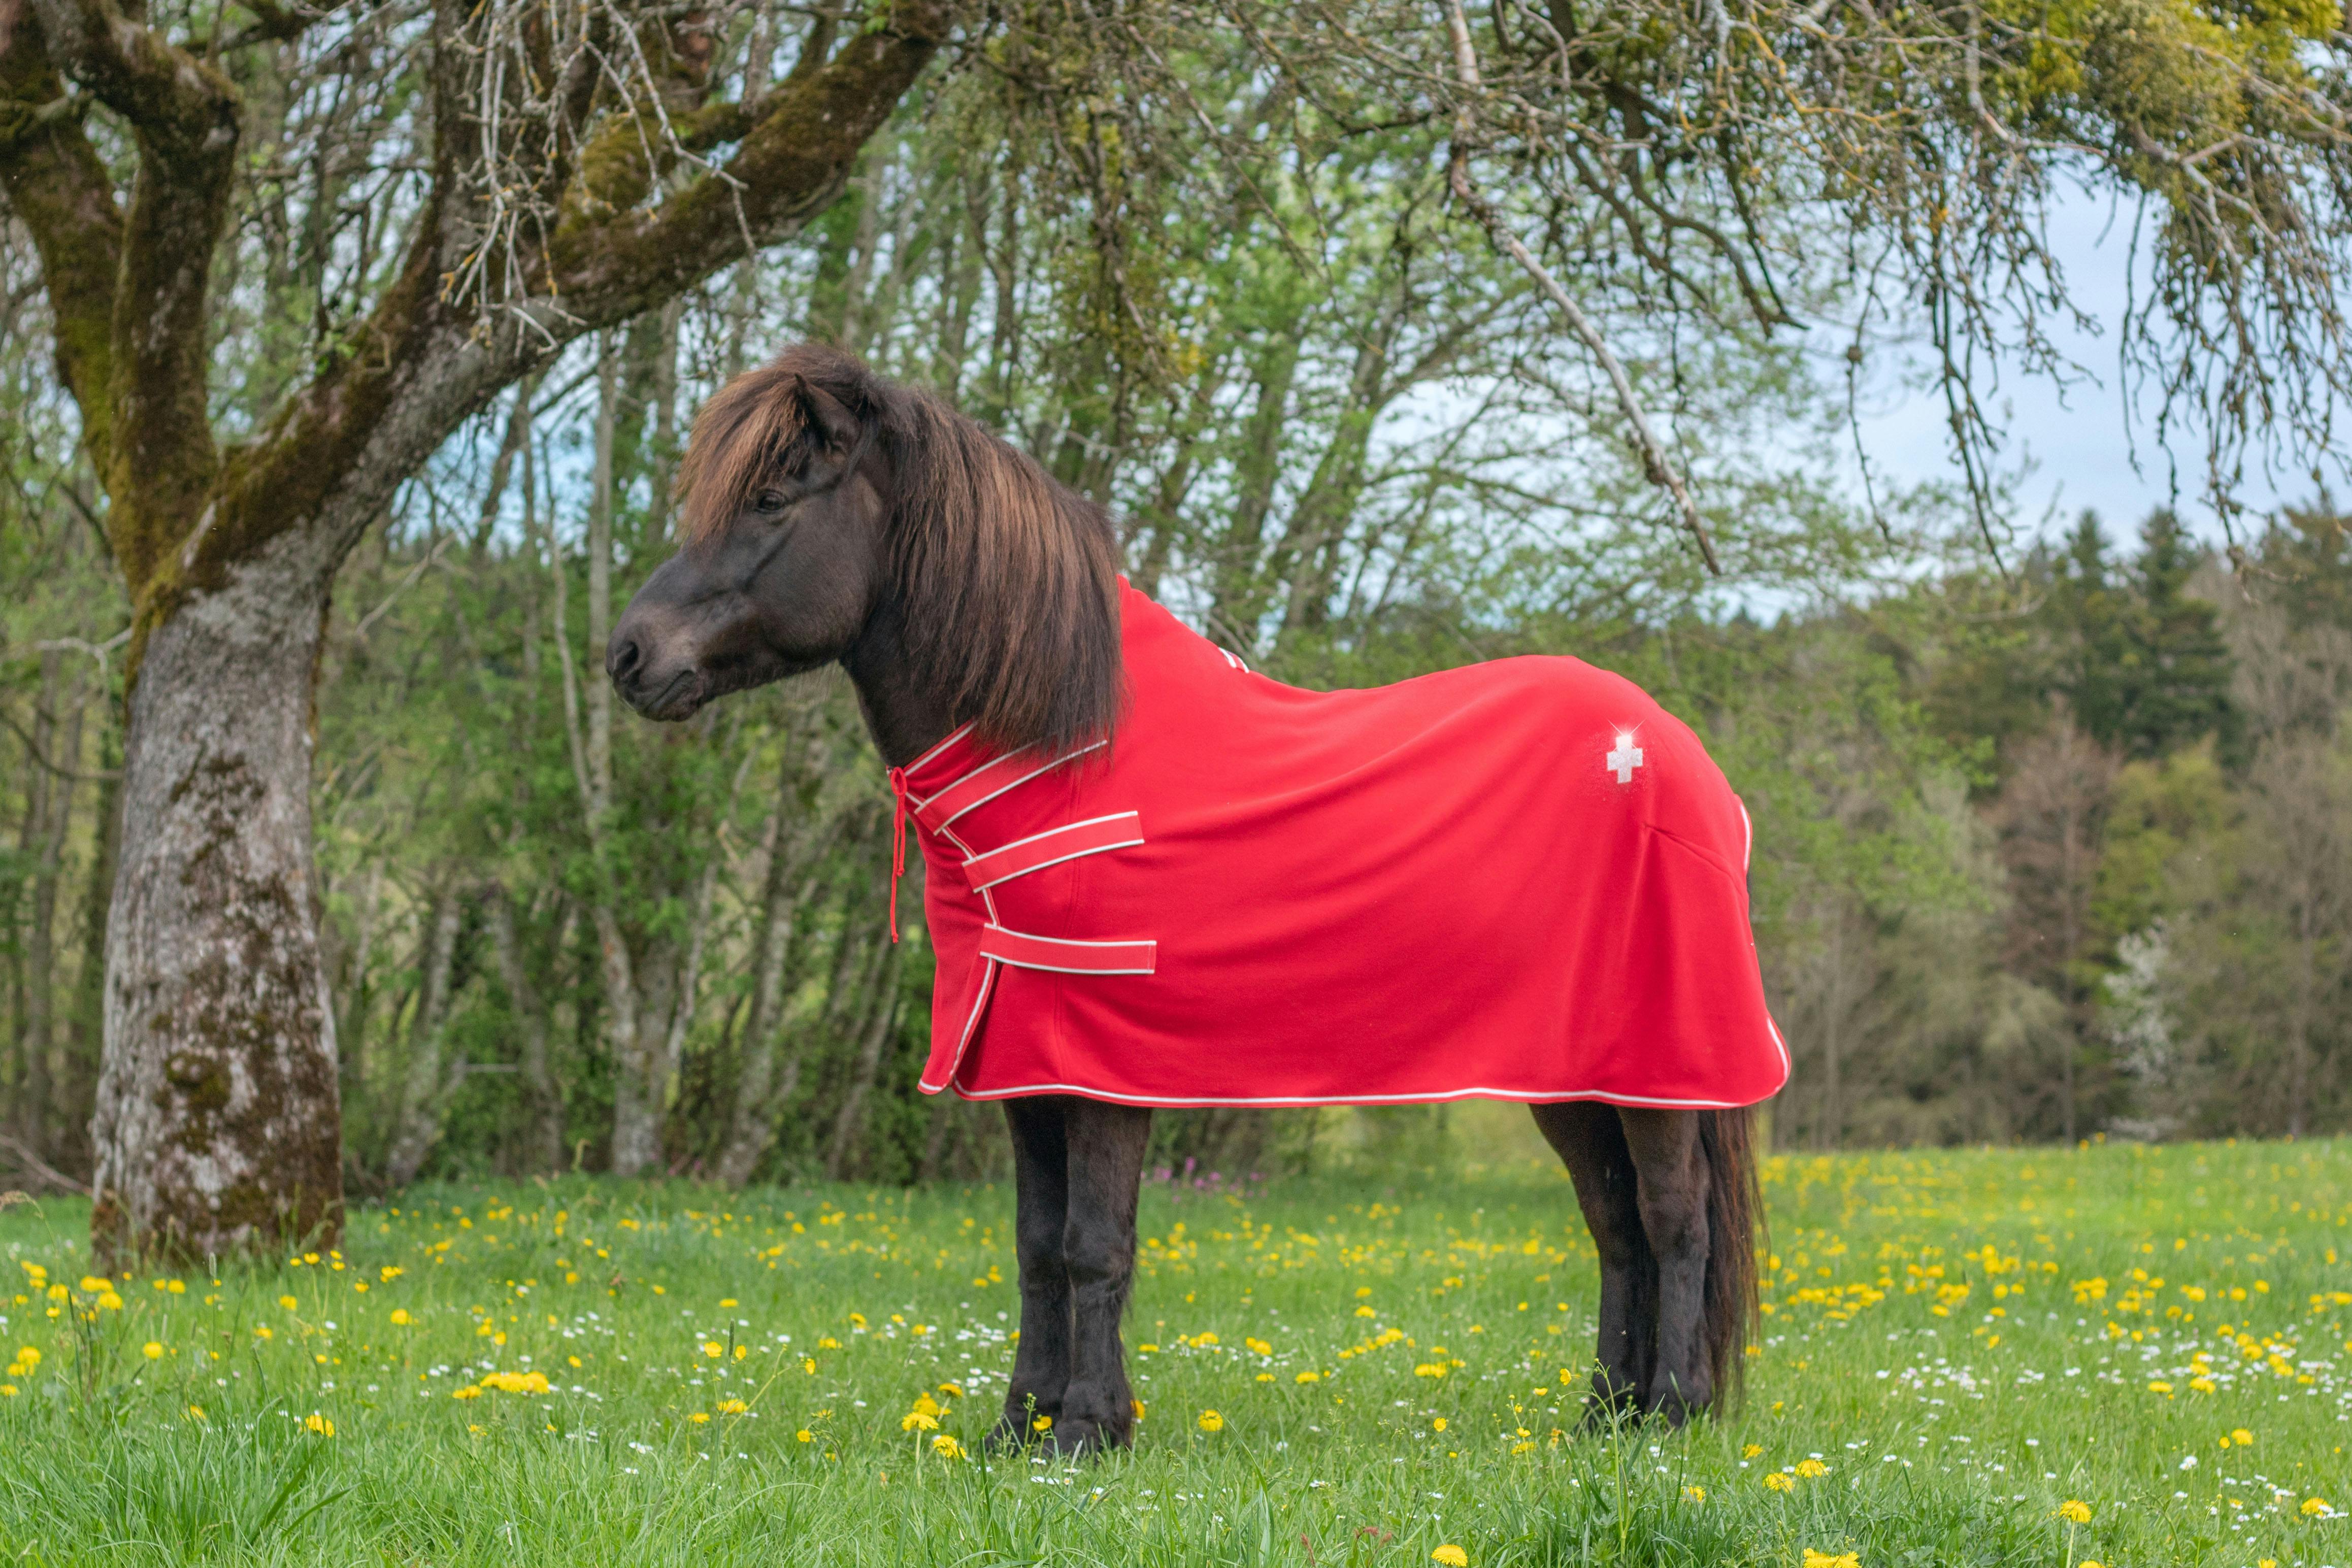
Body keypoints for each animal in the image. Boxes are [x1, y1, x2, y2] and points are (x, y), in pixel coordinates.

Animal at [607, 345, 1769, 1457]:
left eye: (771, 497)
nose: (627, 653)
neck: (1065, 743)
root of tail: (1677, 755)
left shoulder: (1103, 1066)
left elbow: (1093, 1243)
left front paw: (1086, 1429)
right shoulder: (1027, 1060)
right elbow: (1036, 1244)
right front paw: (1017, 1427)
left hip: (1657, 1068)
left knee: (1673, 1218)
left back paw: (1669, 1415)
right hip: (1572, 1074)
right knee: (1613, 1222)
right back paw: (1604, 1413)